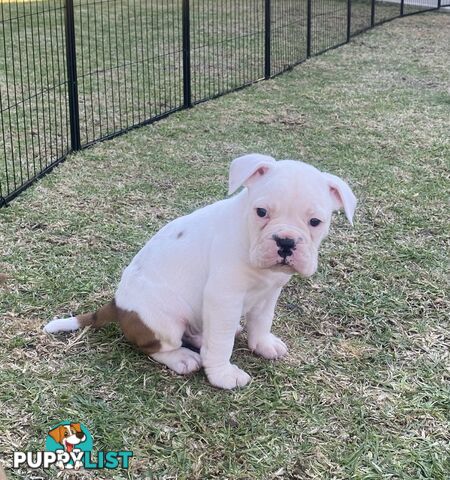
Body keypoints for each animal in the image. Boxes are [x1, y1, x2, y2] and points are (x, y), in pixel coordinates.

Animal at [44, 154, 356, 390]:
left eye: (315, 222)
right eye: (261, 212)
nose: (286, 242)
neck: (248, 236)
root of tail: (118, 304)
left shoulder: (269, 292)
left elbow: (261, 321)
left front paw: (262, 344)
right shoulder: (223, 298)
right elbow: (222, 343)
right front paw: (222, 375)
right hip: (165, 319)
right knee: (154, 346)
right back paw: (182, 358)